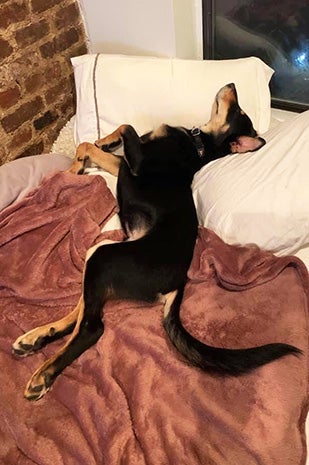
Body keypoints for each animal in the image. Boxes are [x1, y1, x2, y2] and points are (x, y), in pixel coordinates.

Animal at [12, 82, 298, 398]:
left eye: (239, 111)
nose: (231, 84)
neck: (199, 145)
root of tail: (178, 282)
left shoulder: (135, 163)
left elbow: (126, 126)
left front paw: (92, 152)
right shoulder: (124, 165)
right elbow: (88, 144)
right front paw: (83, 160)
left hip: (103, 257)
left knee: (91, 327)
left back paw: (44, 374)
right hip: (97, 253)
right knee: (83, 309)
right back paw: (38, 337)